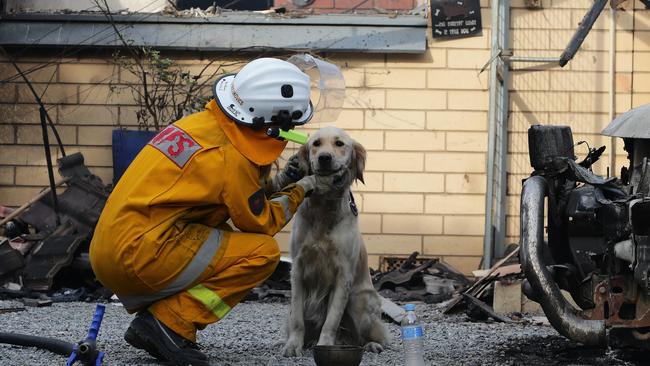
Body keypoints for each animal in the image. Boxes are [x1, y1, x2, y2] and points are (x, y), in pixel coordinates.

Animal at [280, 126, 388, 358]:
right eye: (316, 144)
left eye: (339, 144)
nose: (324, 158)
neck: (324, 208)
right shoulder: (297, 270)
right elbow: (297, 320)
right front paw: (293, 345)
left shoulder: (343, 276)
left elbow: (331, 320)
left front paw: (325, 345)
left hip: (359, 301)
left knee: (378, 336)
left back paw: (371, 345)